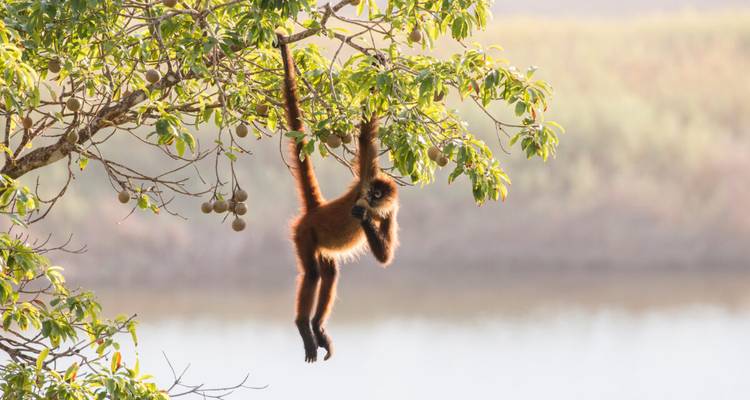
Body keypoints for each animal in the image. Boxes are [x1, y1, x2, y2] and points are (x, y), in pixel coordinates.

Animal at [278, 38, 399, 363]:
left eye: (378, 195)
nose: (368, 198)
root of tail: (315, 210)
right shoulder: (366, 175)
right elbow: (367, 135)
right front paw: (378, 64)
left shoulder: (390, 212)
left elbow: (385, 257)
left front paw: (365, 218)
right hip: (304, 233)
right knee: (312, 274)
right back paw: (303, 326)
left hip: (321, 243)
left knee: (330, 273)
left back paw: (317, 327)